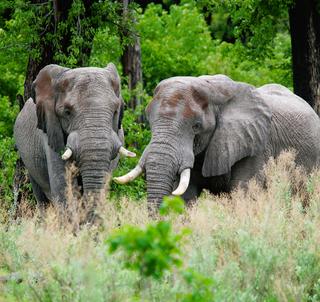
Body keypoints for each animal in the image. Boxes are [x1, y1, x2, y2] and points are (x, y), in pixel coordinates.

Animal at [115, 74, 320, 209]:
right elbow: (185, 197)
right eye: (149, 121)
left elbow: (246, 194)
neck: (213, 90)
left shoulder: (256, 146)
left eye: (196, 126)